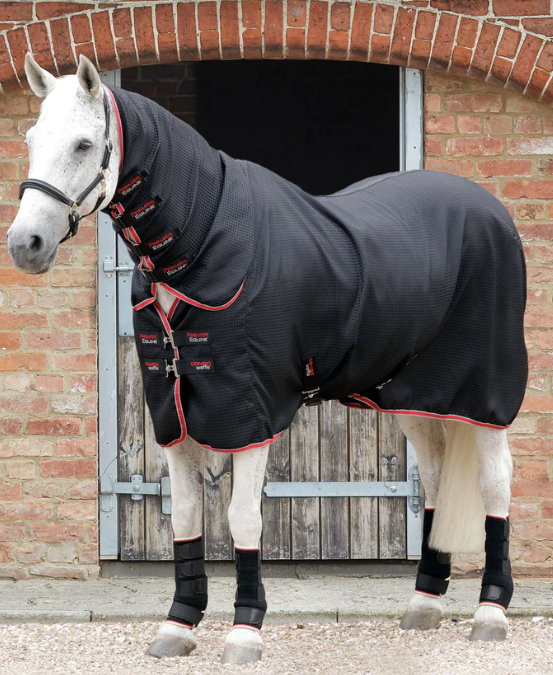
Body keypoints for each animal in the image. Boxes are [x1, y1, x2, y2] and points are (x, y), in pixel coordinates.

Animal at [7, 53, 527, 663]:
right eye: (32, 138)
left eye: (85, 144)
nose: (25, 244)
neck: (202, 244)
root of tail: (490, 209)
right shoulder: (172, 414)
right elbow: (187, 516)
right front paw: (178, 624)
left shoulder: (248, 415)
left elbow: (243, 517)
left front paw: (244, 630)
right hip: (410, 397)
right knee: (440, 478)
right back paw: (424, 604)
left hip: (483, 394)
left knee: (496, 484)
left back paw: (490, 612)